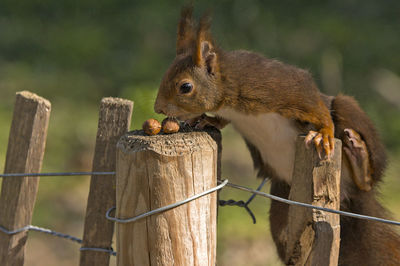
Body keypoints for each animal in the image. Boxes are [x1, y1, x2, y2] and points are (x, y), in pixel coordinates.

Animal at [153, 7, 400, 264]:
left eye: (185, 87)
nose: (158, 108)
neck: (228, 86)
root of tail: (345, 197)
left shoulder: (275, 85)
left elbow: (311, 100)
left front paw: (324, 132)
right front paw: (207, 119)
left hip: (347, 114)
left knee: (368, 179)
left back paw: (359, 156)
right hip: (282, 200)